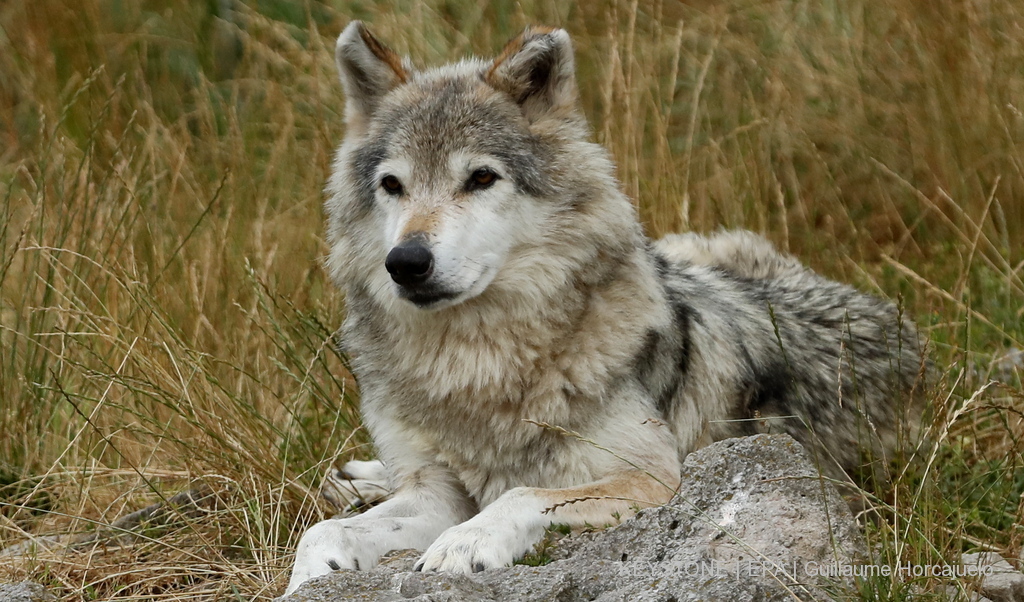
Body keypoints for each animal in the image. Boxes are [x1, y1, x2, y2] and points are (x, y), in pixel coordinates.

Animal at [284, 21, 925, 593]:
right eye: (392, 185)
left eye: (481, 177)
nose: (407, 262)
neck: (477, 366)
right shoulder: (434, 491)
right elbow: (323, 532)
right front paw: (311, 571)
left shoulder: (658, 478)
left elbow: (520, 493)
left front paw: (465, 544)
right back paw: (357, 479)